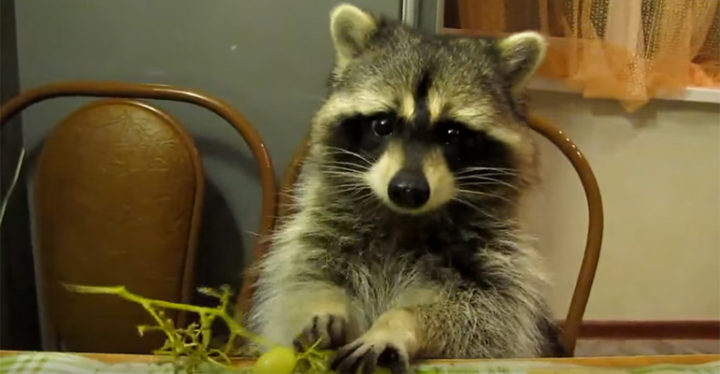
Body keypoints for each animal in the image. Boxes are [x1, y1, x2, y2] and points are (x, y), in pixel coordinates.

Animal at [250, 3, 564, 374]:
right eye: (383, 124)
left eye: (452, 134)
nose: (408, 189)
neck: (403, 217)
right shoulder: (321, 232)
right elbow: (302, 280)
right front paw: (322, 304)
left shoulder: (497, 264)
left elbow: (486, 317)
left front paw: (397, 324)